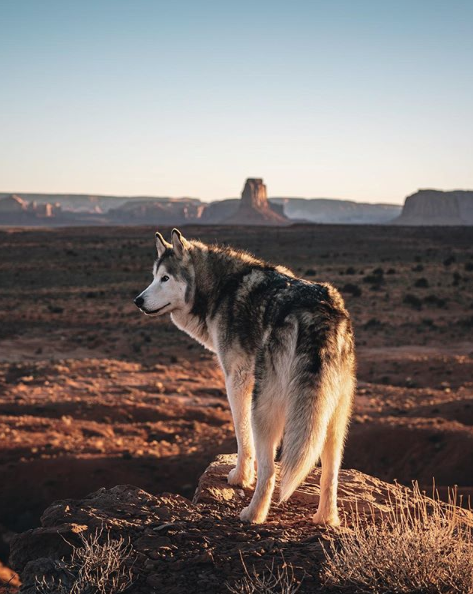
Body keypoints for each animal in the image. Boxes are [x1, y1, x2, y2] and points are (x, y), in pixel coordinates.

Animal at [133, 229, 354, 524]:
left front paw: (240, 477)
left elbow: (242, 434)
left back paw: (252, 514)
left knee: (270, 470)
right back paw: (326, 519)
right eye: (154, 276)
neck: (220, 290)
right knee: (330, 472)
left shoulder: (236, 380)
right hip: (334, 412)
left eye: (165, 278)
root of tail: (316, 312)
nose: (138, 300)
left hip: (267, 405)